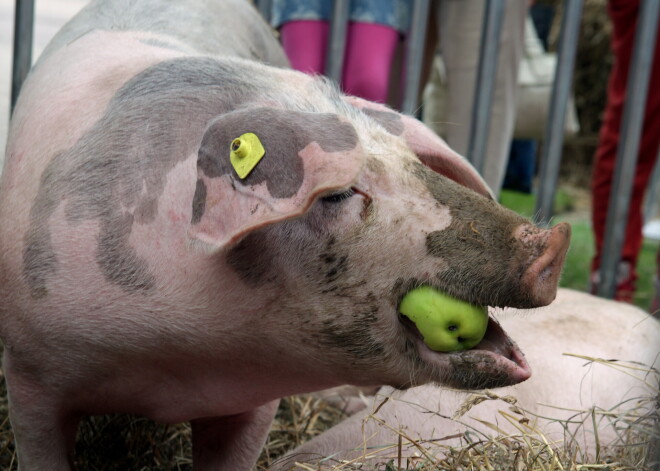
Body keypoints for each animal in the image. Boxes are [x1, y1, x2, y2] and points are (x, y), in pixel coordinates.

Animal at [0, 0, 572, 471]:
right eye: (337, 193)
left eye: (412, 164)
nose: (553, 243)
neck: (171, 361)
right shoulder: (31, 375)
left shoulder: (254, 398)